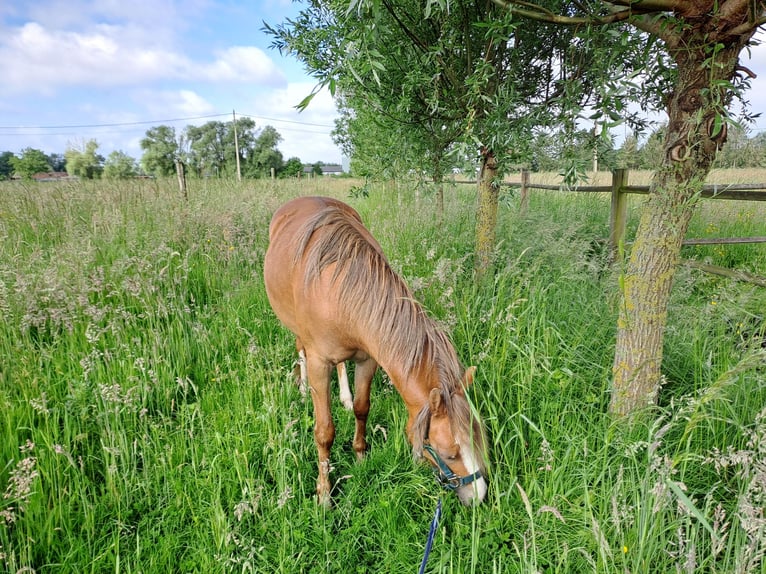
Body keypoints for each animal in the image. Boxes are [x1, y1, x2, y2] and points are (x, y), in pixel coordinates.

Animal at [268, 198, 488, 508]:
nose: (479, 495)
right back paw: (301, 388)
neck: (341, 290)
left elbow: (363, 408)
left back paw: (344, 396)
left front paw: (360, 458)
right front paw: (324, 494)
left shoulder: (367, 358)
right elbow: (324, 432)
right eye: (448, 453)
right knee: (299, 346)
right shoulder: (319, 363)